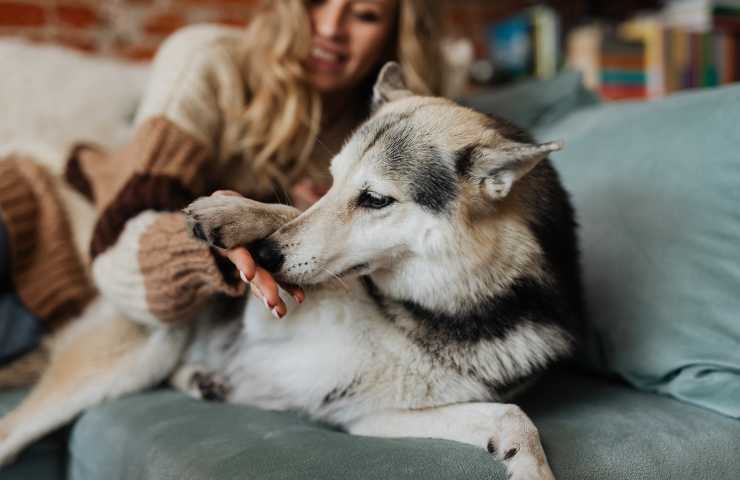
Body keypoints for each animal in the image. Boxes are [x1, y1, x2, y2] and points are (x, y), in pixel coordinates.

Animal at [0, 63, 584, 480]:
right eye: (331, 181)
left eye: (375, 199)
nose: (266, 258)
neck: (431, 311)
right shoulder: (273, 316)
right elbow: (290, 214)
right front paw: (235, 215)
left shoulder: (370, 415)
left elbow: (515, 418)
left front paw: (528, 466)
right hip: (129, 360)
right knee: (12, 429)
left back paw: (207, 380)